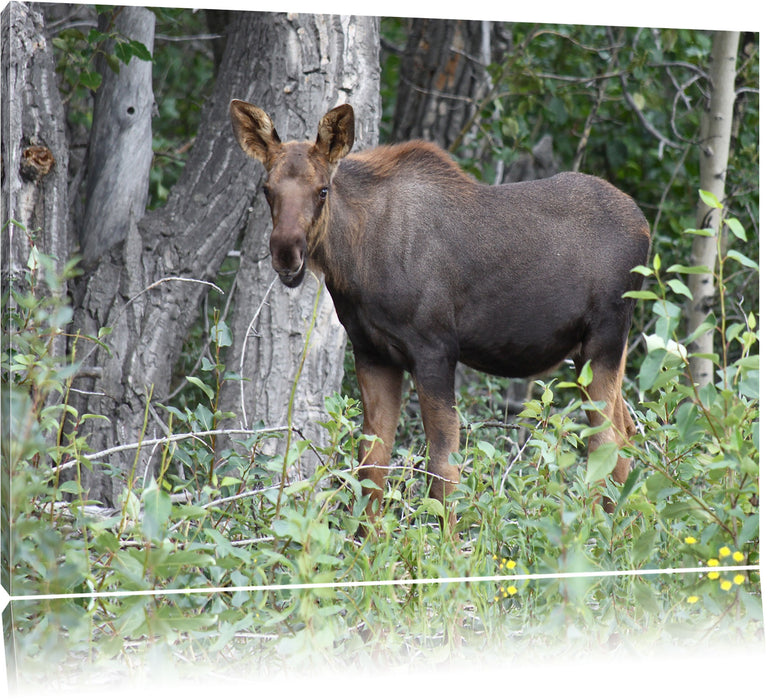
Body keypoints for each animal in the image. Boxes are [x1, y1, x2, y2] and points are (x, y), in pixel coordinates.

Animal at [229, 100, 648, 532]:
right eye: (266, 189)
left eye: (323, 190)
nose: (286, 253)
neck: (355, 264)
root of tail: (645, 226)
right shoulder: (372, 353)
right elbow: (371, 467)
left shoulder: (435, 349)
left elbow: (443, 470)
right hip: (589, 354)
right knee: (627, 435)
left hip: (606, 339)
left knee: (606, 441)